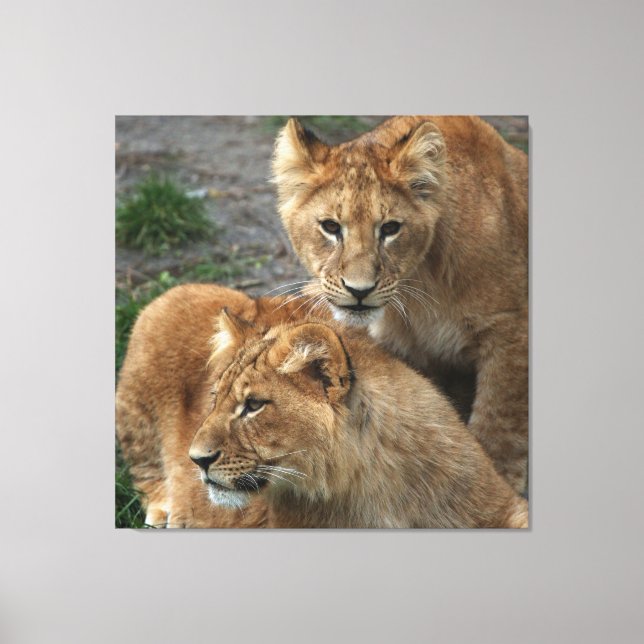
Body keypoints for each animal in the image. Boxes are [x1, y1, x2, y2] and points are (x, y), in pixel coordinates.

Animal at [272, 116, 528, 494]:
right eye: (331, 227)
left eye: (390, 228)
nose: (359, 290)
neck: (420, 283)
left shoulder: (510, 330)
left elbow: (498, 427)